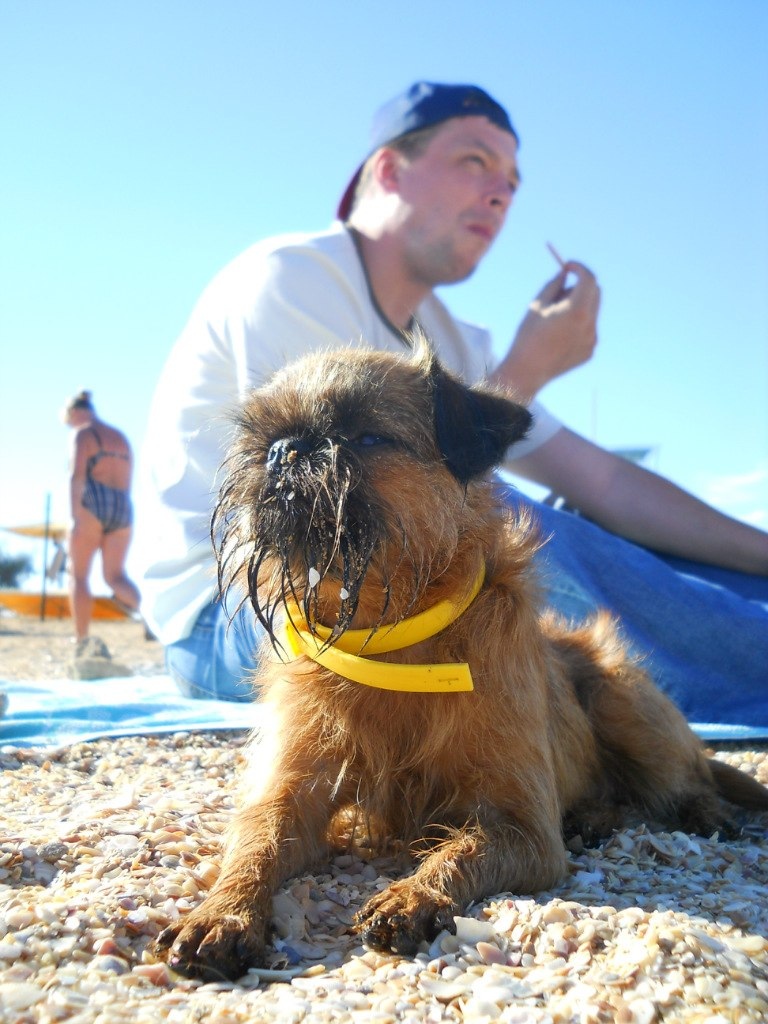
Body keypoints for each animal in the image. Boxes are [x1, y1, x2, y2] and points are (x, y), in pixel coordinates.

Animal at [154, 346, 768, 983]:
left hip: (622, 699)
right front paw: (222, 913)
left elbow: (464, 848)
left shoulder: (526, 832)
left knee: (685, 776)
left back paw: (701, 809)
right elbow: (259, 839)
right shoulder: (292, 793)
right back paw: (593, 817)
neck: (390, 633)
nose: (285, 450)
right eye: (264, 438)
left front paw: (415, 894)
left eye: (366, 437)